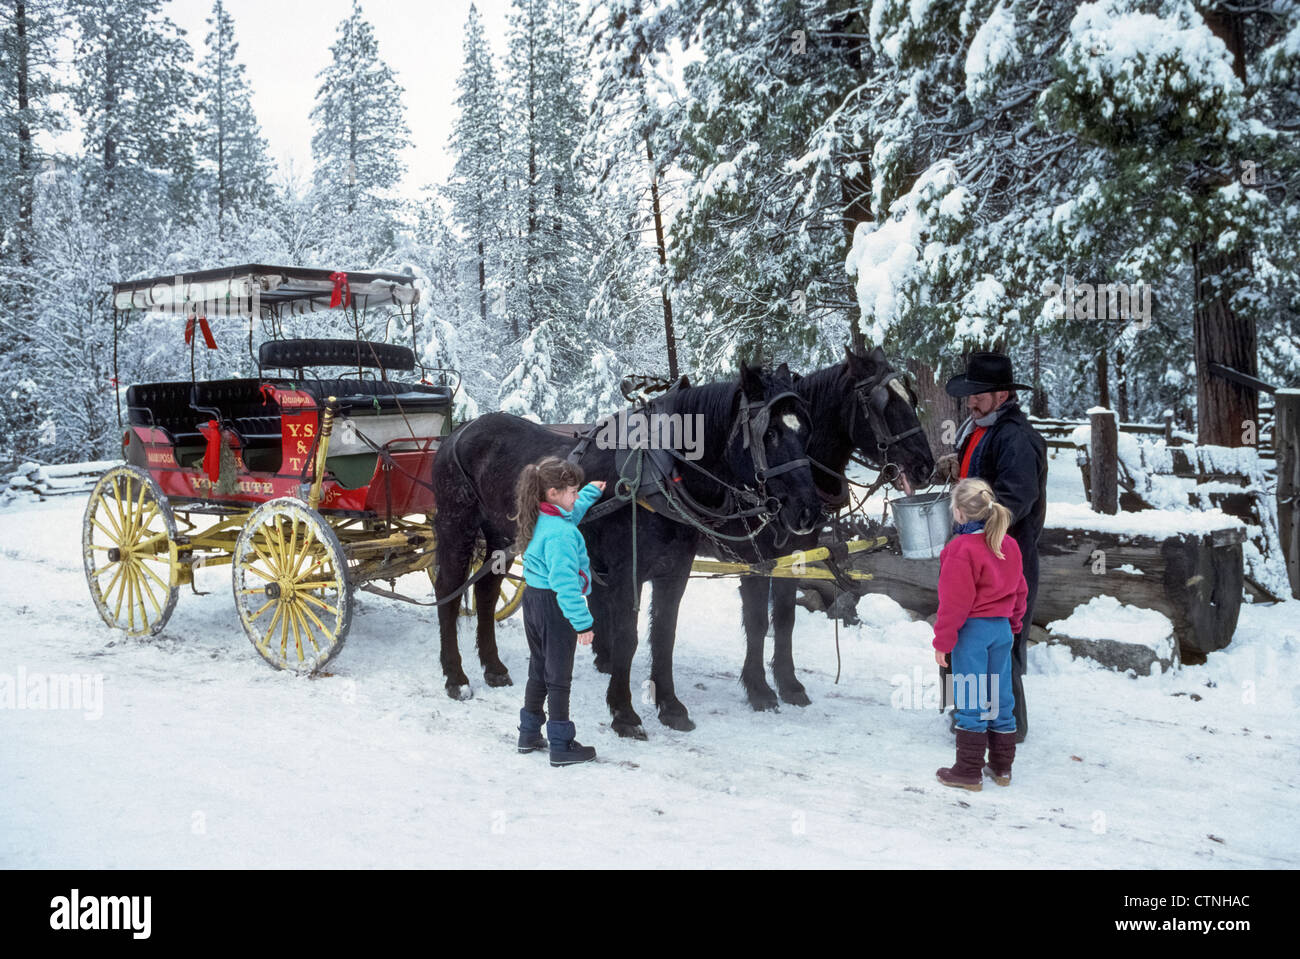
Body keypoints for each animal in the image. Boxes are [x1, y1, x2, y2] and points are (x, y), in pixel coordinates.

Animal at [436, 361, 821, 738]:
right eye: (769, 433)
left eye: (805, 430)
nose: (808, 511)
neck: (658, 474)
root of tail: (461, 430)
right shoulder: (626, 575)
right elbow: (627, 638)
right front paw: (624, 712)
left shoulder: (675, 572)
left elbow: (664, 636)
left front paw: (671, 707)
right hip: (457, 527)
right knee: (448, 593)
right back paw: (456, 676)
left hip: (501, 538)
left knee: (487, 592)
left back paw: (493, 667)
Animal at [691, 345, 935, 712]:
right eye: (883, 405)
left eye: (911, 398)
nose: (926, 466)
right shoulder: (756, 560)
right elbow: (758, 621)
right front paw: (759, 689)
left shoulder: (795, 554)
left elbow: (785, 618)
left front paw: (789, 685)